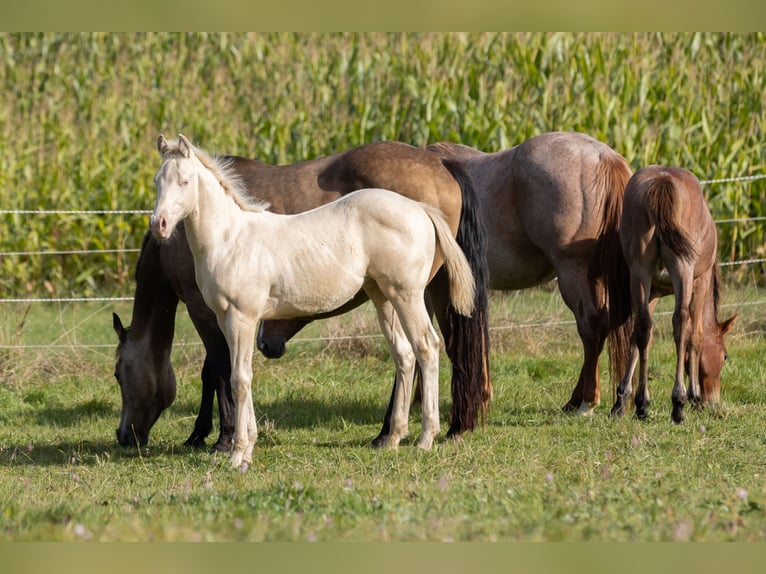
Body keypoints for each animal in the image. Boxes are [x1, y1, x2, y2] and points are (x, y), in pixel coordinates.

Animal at [112, 138, 492, 450]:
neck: (232, 237)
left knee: (428, 347)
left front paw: (224, 443)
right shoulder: (226, 317)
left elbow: (229, 375)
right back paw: (391, 437)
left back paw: (427, 436)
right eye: (157, 181)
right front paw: (236, 440)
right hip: (384, 296)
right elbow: (235, 373)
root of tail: (420, 208)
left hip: (409, 295)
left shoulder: (229, 315)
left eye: (185, 181)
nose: (159, 225)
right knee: (405, 354)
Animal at [612, 165, 736, 424]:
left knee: (642, 326)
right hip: (683, 270)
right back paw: (678, 404)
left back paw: (640, 404)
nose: (713, 401)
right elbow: (695, 337)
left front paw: (625, 398)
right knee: (680, 323)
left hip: (639, 272)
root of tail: (663, 180)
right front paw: (694, 396)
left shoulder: (652, 292)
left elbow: (638, 339)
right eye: (725, 356)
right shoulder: (700, 284)